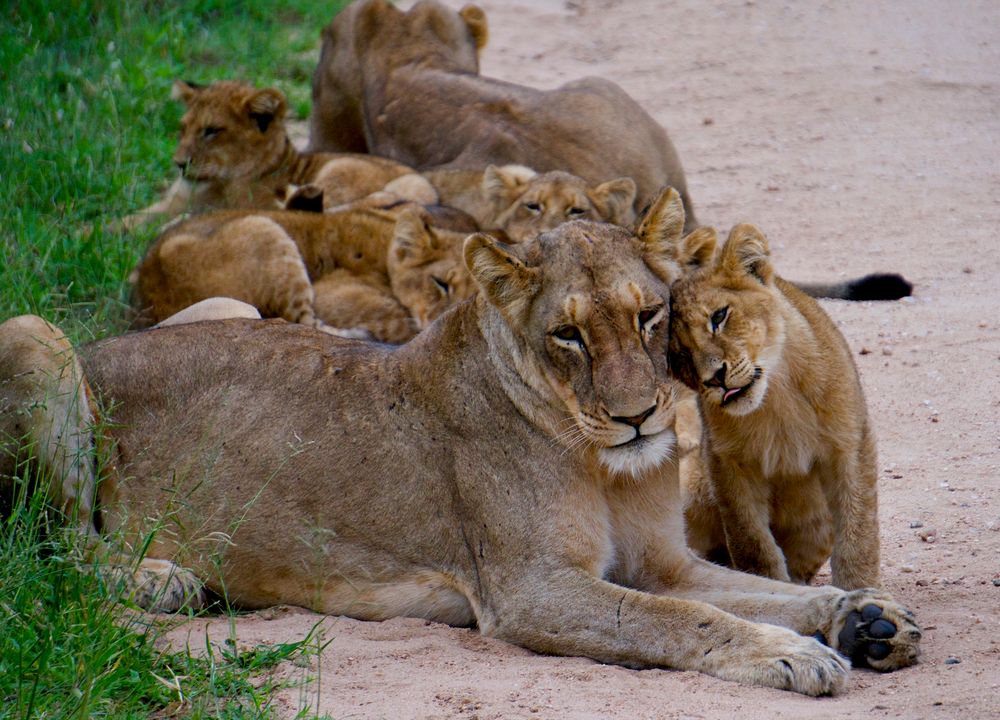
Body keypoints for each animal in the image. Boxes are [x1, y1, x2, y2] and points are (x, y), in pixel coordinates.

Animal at [0, 188, 916, 696]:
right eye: (568, 335)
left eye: (650, 316)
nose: (638, 419)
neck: (605, 465)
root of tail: (105, 343)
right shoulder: (530, 590)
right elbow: (682, 621)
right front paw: (792, 655)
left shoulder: (665, 562)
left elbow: (754, 591)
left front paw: (864, 617)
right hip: (37, 336)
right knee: (49, 545)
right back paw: (159, 578)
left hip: (231, 309)